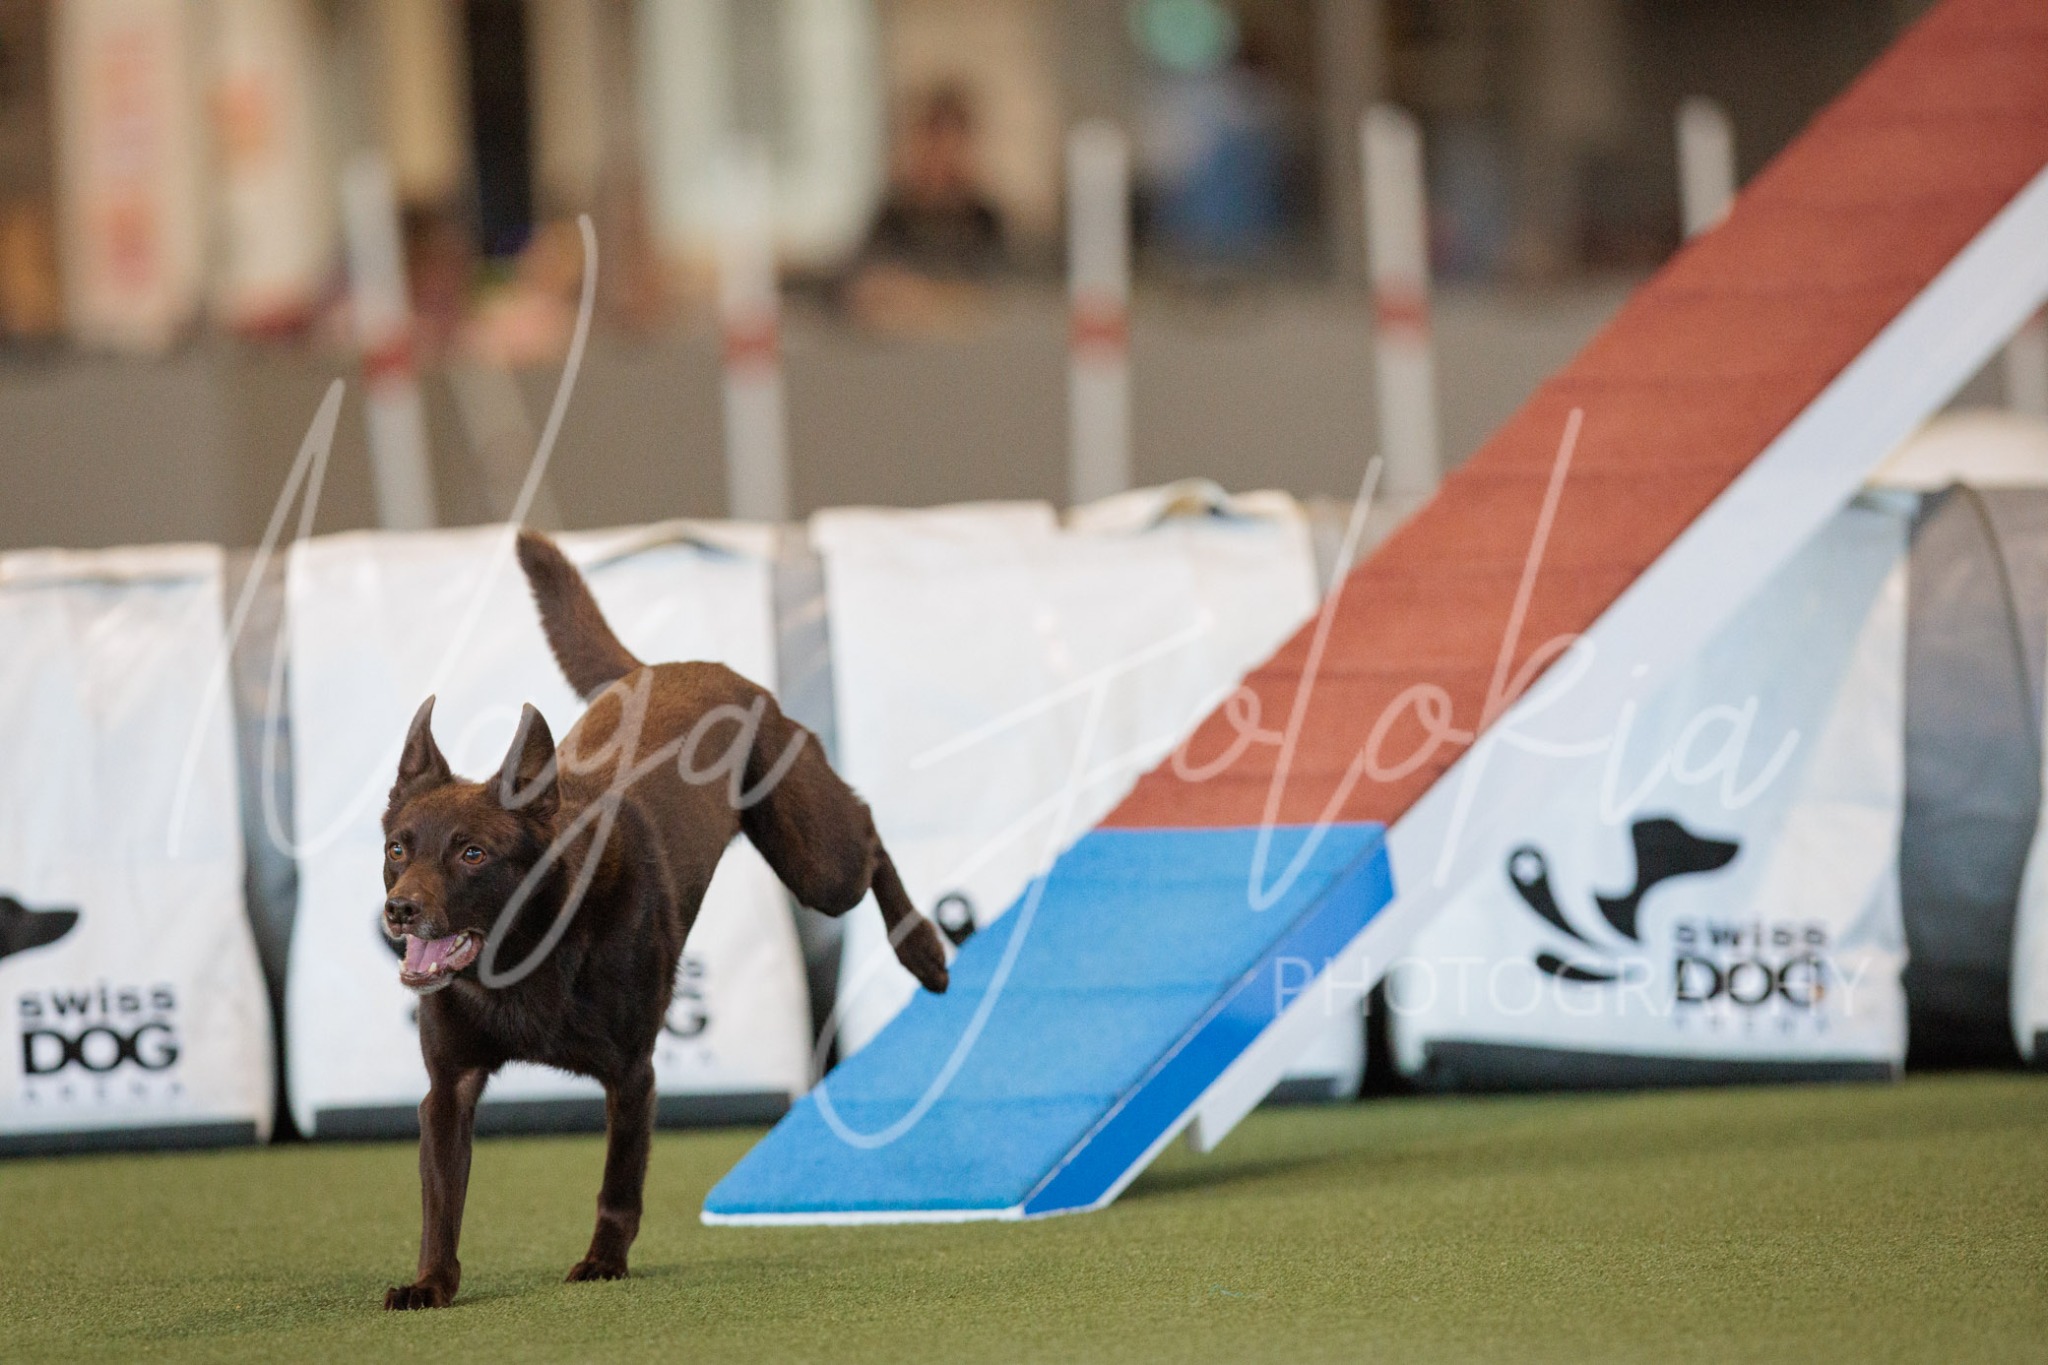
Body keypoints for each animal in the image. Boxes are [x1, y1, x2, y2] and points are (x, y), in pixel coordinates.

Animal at [379, 529, 950, 1310]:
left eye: (473, 853)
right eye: (397, 849)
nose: (400, 910)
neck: (525, 953)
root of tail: (669, 666)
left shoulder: (632, 1073)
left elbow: (618, 1184)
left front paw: (603, 1262)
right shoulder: (450, 1086)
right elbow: (442, 1198)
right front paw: (431, 1283)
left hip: (815, 860)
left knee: (866, 831)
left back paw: (923, 950)